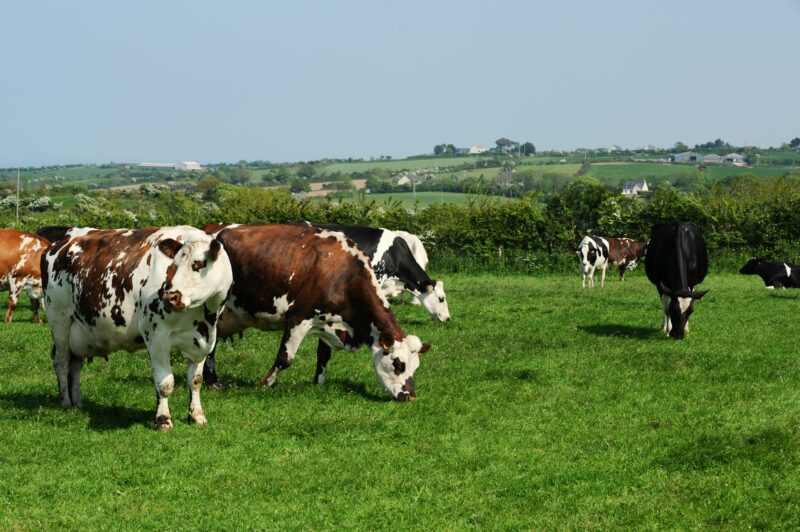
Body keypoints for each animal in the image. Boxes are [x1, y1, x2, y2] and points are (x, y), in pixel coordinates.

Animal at [42, 226, 233, 430]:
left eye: (199, 264)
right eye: (174, 264)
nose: (170, 296)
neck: (203, 315)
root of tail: (61, 241)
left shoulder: (203, 339)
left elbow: (195, 380)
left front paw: (197, 416)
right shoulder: (156, 336)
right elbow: (165, 383)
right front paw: (163, 420)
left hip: (79, 331)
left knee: (75, 364)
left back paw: (77, 402)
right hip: (59, 321)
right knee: (61, 362)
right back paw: (65, 401)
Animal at [202, 223, 430, 401]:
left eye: (416, 367)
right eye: (399, 365)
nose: (410, 396)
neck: (344, 275)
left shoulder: (328, 320)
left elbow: (323, 355)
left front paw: (318, 383)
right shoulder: (299, 318)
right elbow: (285, 358)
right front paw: (264, 383)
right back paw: (213, 382)